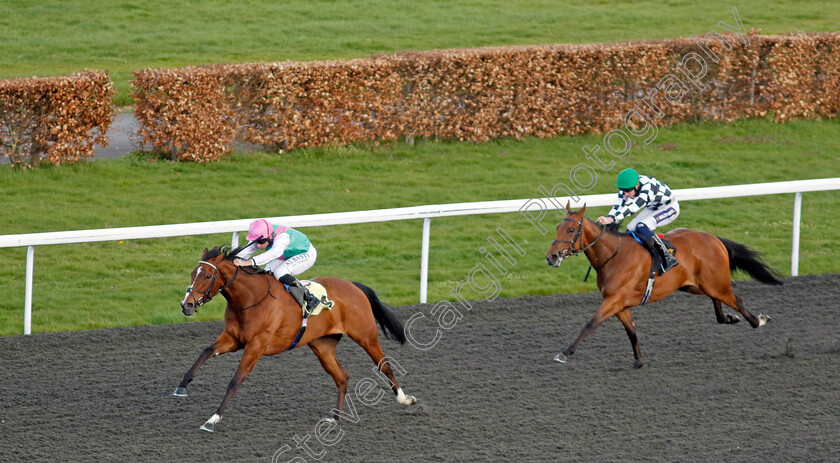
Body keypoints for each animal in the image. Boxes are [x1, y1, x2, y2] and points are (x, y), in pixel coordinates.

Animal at [176, 248, 416, 434]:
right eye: (192, 273)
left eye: (208, 276)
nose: (186, 305)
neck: (250, 298)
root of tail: (353, 285)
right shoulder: (234, 338)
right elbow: (206, 351)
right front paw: (182, 386)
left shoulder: (256, 346)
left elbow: (235, 381)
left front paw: (212, 419)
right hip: (322, 346)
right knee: (342, 378)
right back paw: (335, 418)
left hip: (366, 336)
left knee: (384, 366)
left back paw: (405, 399)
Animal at [544, 203, 780, 370]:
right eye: (557, 227)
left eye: (571, 229)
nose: (551, 256)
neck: (614, 256)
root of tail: (713, 238)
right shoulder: (619, 304)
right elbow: (631, 331)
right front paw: (639, 361)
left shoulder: (614, 300)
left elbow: (590, 324)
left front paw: (564, 353)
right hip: (695, 285)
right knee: (719, 308)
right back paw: (731, 318)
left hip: (716, 284)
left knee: (735, 300)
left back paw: (759, 320)